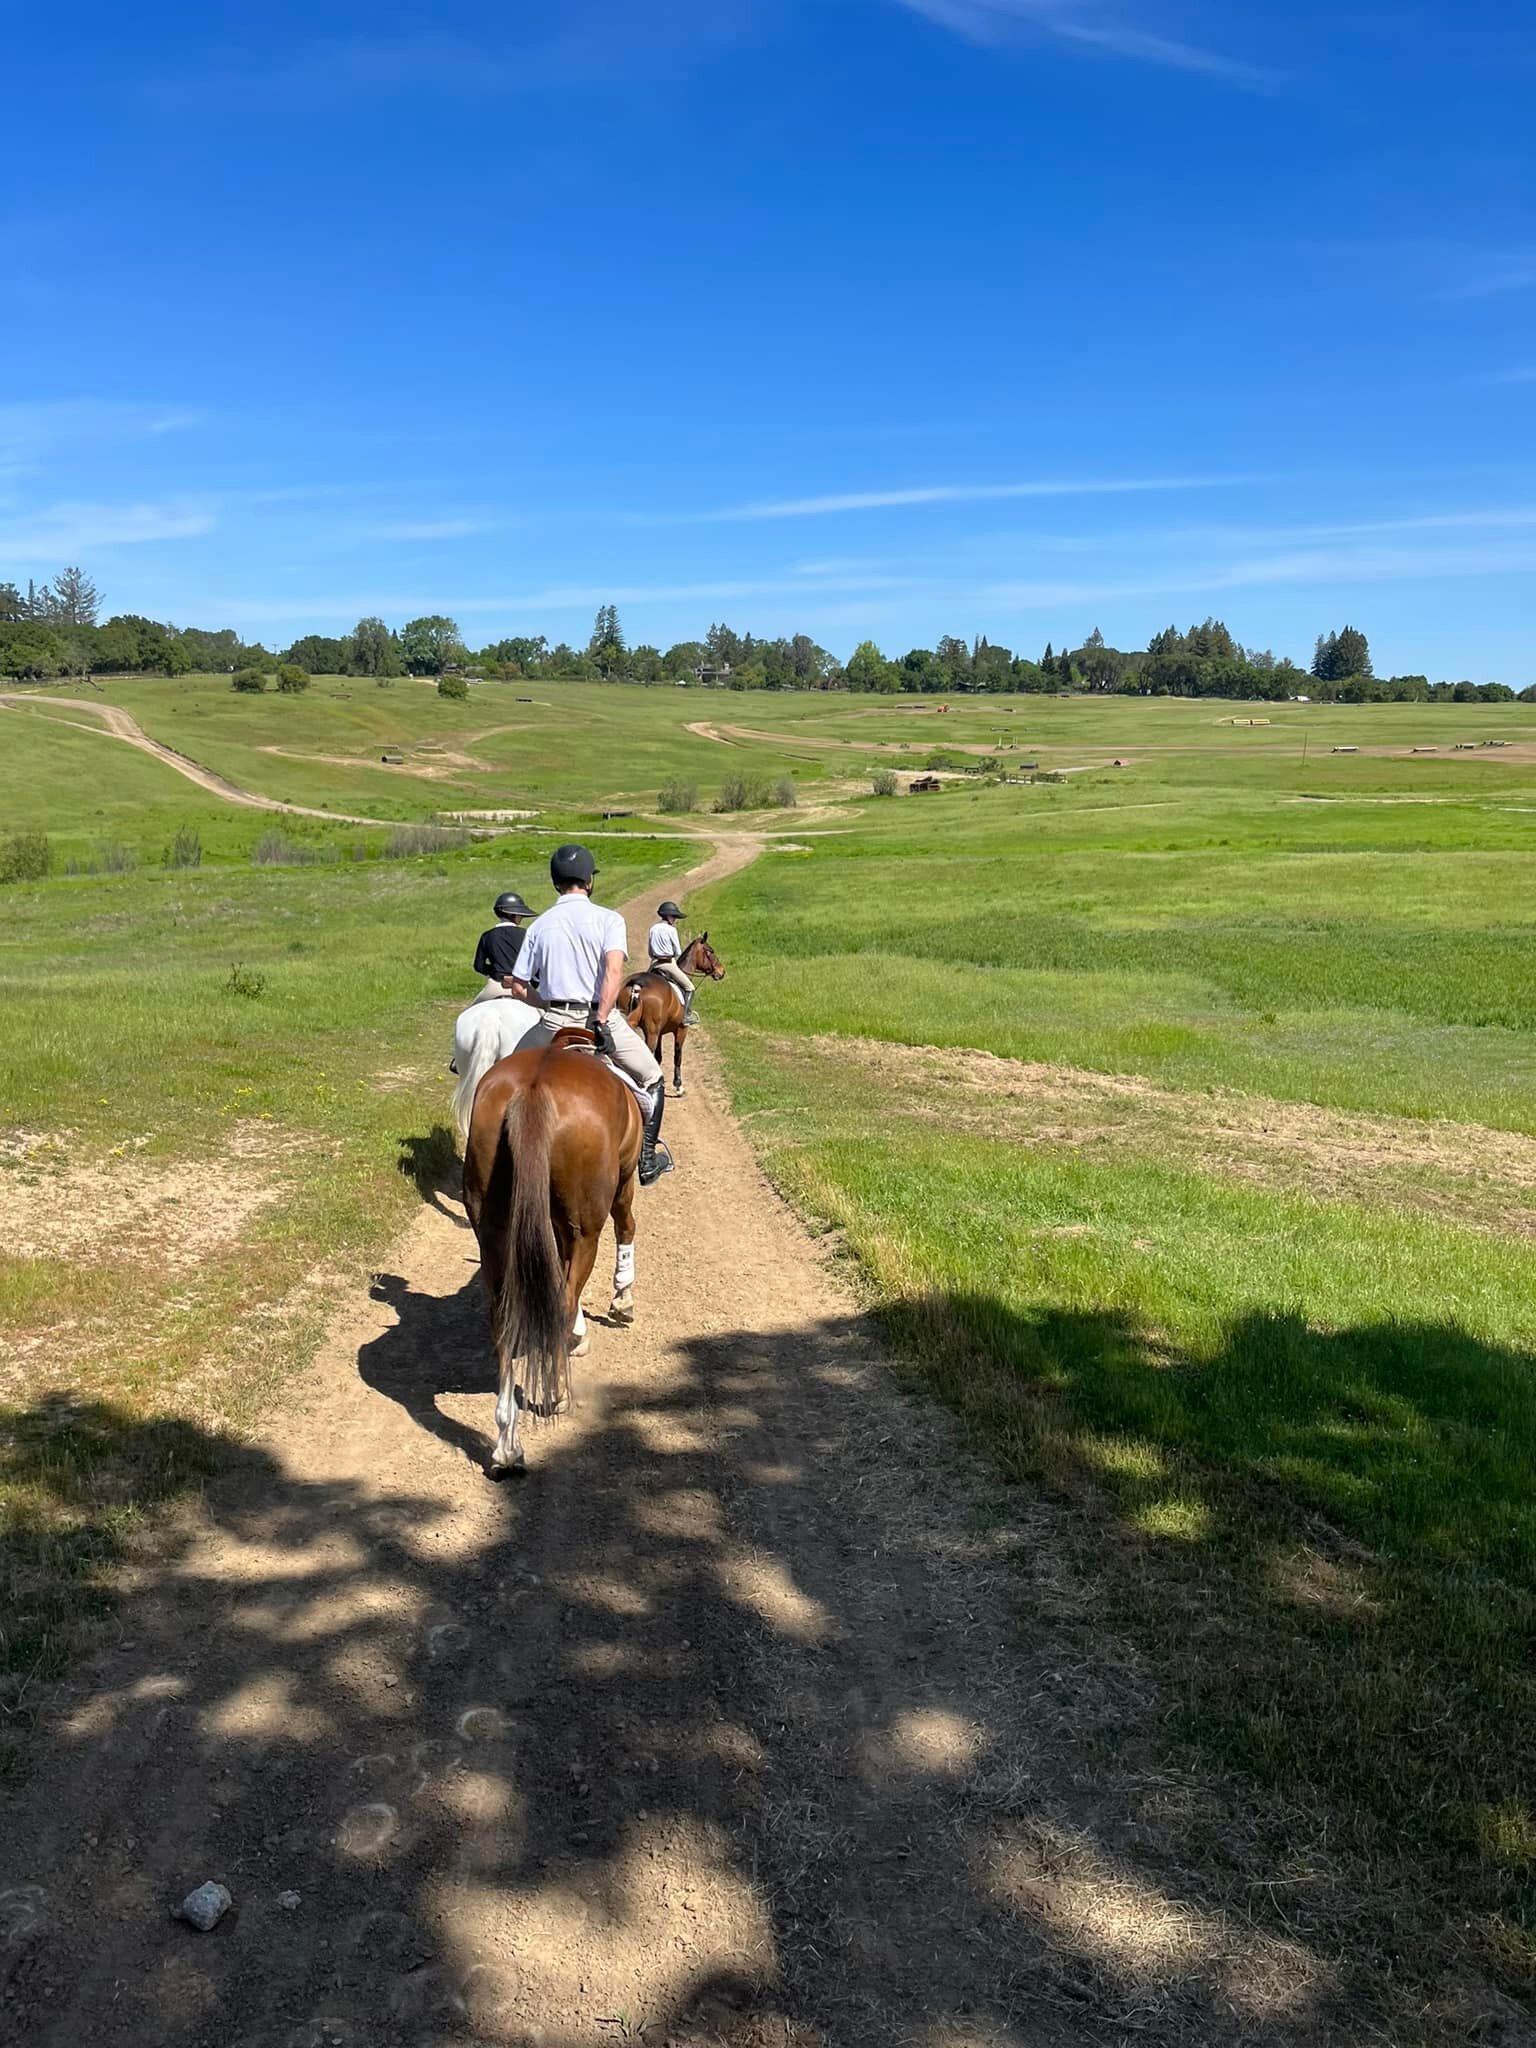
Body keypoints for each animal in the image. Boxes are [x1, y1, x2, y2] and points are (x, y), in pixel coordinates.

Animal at [462, 1040, 643, 1474]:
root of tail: (533, 1090)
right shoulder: (624, 1181)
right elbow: (626, 1228)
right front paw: (622, 1301)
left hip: (493, 1232)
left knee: (505, 1321)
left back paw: (507, 1444)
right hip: (587, 1227)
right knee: (562, 1300)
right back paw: (558, 1394)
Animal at [618, 933, 729, 1097]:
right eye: (711, 951)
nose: (721, 972)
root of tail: (637, 984)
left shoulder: (660, 1032)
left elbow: (659, 1057)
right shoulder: (681, 1030)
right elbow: (678, 1056)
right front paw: (678, 1086)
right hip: (651, 1031)